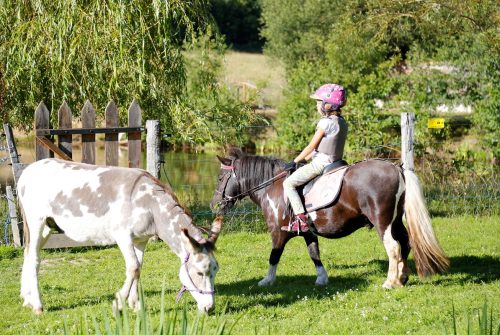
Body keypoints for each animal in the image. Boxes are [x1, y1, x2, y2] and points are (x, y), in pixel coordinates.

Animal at [17, 159, 221, 316]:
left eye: (216, 270)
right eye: (200, 273)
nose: (210, 308)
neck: (150, 204)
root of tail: (28, 170)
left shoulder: (140, 240)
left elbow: (140, 268)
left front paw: (135, 306)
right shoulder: (123, 236)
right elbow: (133, 267)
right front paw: (118, 304)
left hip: (47, 226)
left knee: (27, 254)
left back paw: (26, 299)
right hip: (37, 222)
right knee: (34, 259)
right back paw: (37, 306)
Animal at [210, 149, 450, 288]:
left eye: (221, 178)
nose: (214, 205)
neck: (273, 187)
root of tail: (395, 167)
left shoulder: (278, 232)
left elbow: (274, 256)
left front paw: (267, 280)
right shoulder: (307, 231)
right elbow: (314, 254)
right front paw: (322, 279)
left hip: (382, 222)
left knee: (393, 247)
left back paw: (390, 282)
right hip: (396, 220)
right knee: (406, 243)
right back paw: (402, 277)